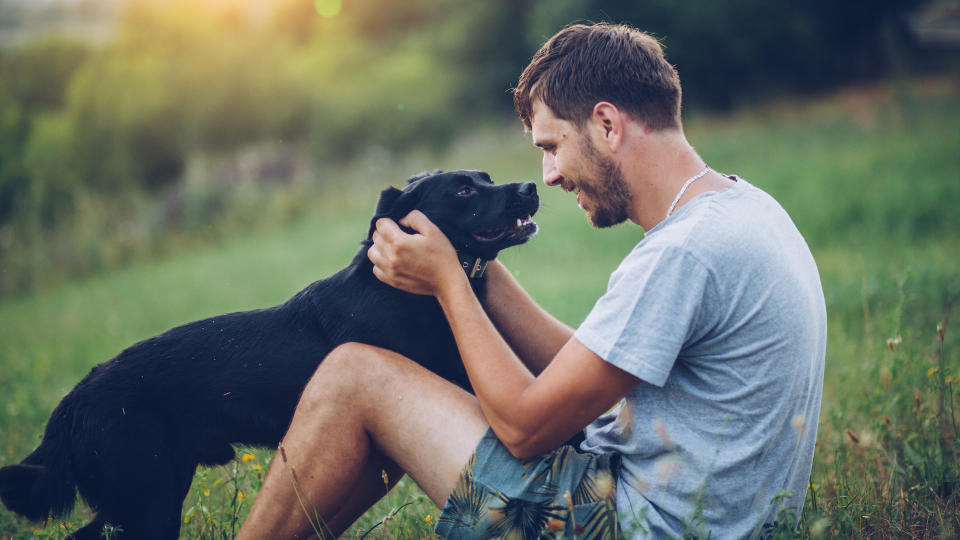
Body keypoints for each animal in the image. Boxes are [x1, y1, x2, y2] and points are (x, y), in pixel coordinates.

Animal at [0, 170, 540, 540]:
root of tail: (70, 403)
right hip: (145, 498)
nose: (530, 186)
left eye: (487, 178)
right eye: (464, 191)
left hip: (150, 494)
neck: (407, 292)